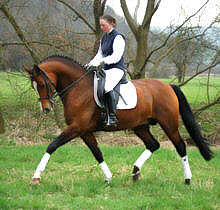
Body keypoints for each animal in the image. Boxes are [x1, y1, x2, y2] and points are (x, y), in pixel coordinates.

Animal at [24, 54, 213, 185]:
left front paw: (36, 177)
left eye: (42, 84)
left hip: (169, 124)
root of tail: (168, 86)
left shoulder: (76, 128)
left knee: (180, 146)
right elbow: (97, 153)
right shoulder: (84, 130)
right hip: (140, 126)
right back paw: (135, 172)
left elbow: (52, 145)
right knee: (153, 145)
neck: (78, 88)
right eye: (34, 86)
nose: (46, 109)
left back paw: (187, 179)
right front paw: (108, 177)